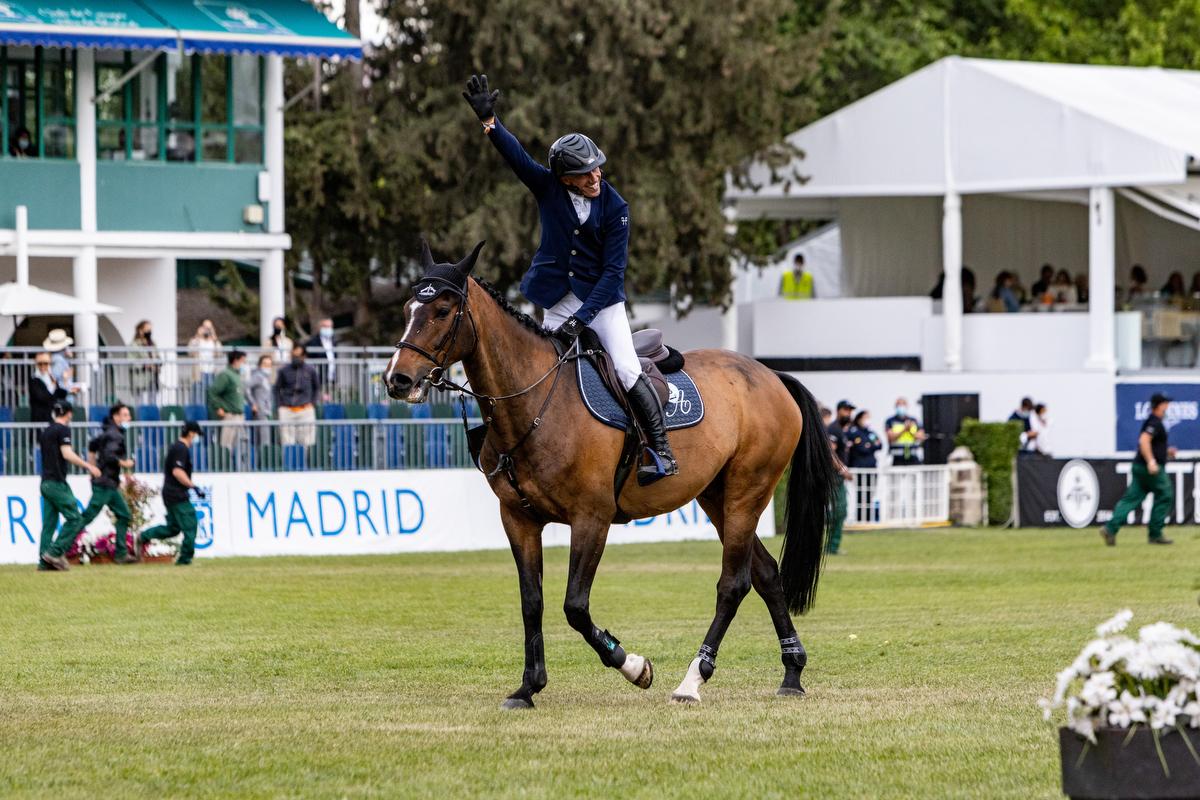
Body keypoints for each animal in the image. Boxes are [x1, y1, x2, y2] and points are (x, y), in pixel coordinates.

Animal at [384, 242, 835, 705]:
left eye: (442, 309)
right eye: (407, 308)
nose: (397, 379)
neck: (536, 403)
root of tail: (770, 375)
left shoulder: (591, 519)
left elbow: (575, 606)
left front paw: (633, 665)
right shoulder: (519, 519)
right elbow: (532, 603)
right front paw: (528, 686)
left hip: (748, 491)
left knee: (733, 583)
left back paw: (693, 679)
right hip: (715, 497)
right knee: (765, 574)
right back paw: (792, 672)